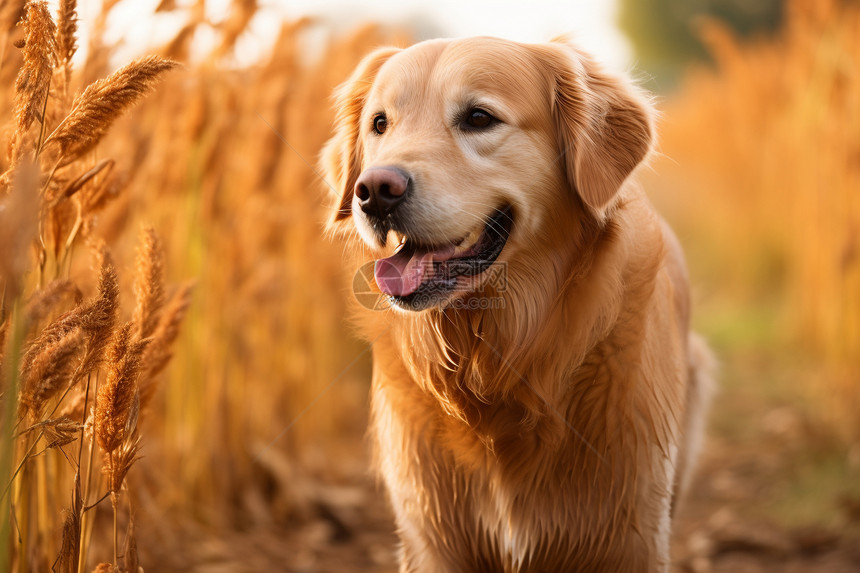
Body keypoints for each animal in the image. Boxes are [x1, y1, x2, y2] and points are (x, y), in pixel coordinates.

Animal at [322, 36, 712, 572]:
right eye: (380, 124)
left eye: (479, 118)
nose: (374, 191)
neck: (494, 363)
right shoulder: (431, 538)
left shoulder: (631, 531)